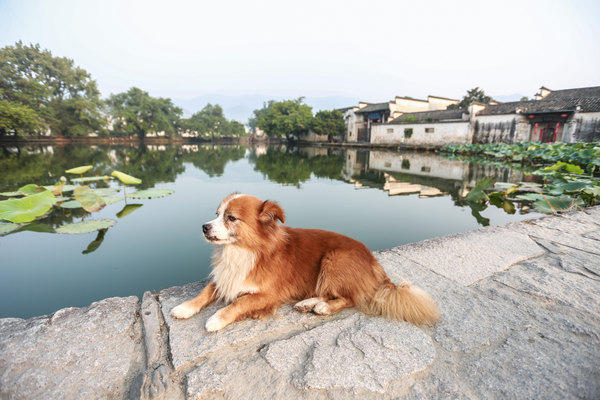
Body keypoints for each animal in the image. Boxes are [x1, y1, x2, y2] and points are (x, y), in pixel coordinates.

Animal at [171, 194, 438, 332]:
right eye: (216, 214)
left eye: (231, 218)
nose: (204, 227)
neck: (243, 251)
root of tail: (375, 263)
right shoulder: (226, 277)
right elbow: (205, 292)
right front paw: (185, 307)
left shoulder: (268, 295)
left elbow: (239, 303)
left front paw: (217, 319)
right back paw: (307, 303)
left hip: (335, 259)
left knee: (351, 298)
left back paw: (322, 307)